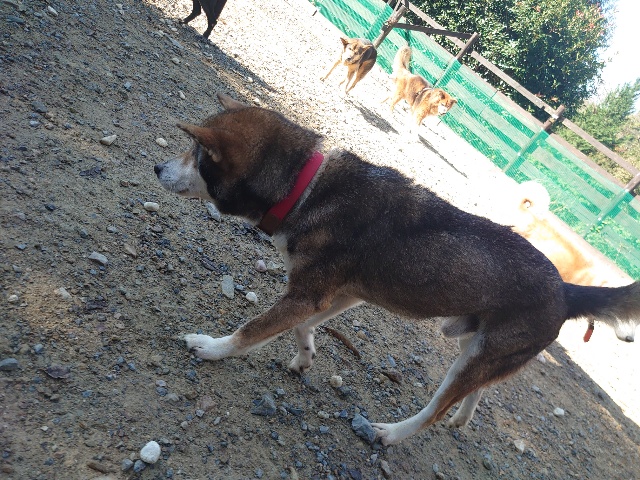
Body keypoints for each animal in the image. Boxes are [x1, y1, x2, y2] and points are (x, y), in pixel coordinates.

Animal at [154, 93, 640, 446]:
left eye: (196, 153)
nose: (158, 166)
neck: (304, 186)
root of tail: (567, 289)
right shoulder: (341, 294)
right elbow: (303, 327)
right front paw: (305, 357)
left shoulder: (308, 294)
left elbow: (252, 330)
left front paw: (212, 347)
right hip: (475, 346)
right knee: (480, 390)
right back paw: (462, 418)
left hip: (472, 357)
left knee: (434, 410)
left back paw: (389, 433)